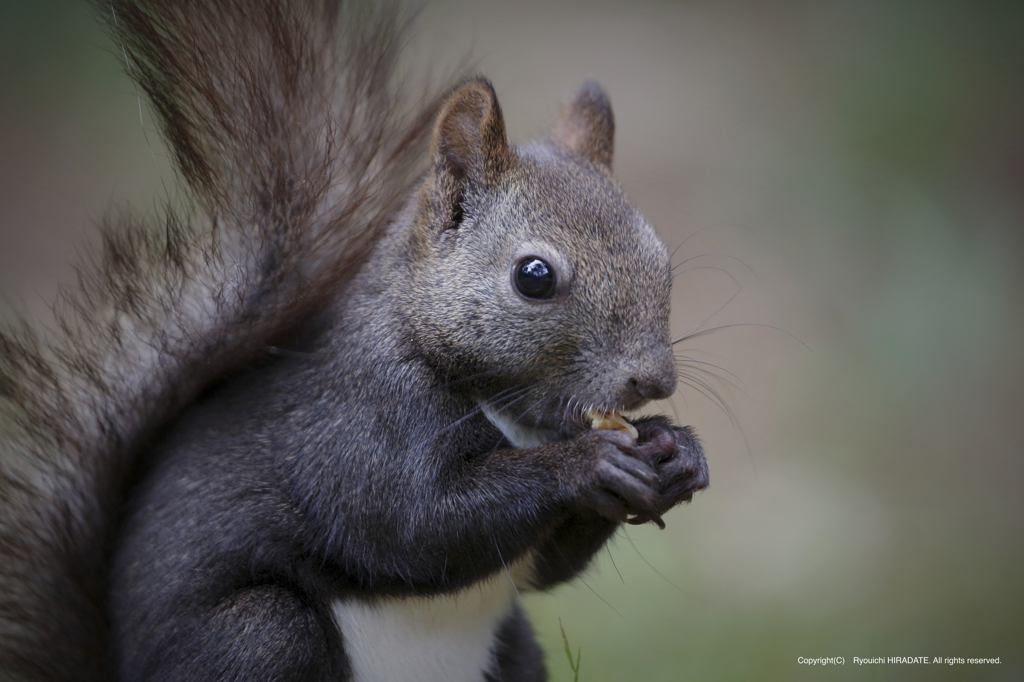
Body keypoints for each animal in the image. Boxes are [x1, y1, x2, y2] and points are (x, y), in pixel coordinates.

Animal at [0, 0, 708, 675]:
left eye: (661, 259)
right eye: (534, 277)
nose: (654, 380)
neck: (508, 410)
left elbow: (545, 567)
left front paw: (677, 449)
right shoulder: (354, 421)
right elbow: (414, 525)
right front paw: (587, 462)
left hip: (514, 651)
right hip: (260, 637)